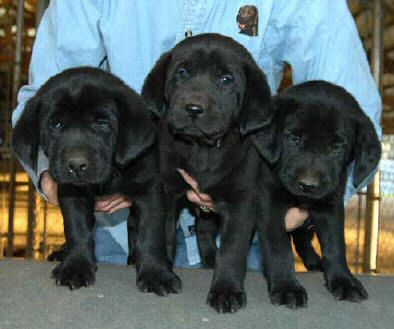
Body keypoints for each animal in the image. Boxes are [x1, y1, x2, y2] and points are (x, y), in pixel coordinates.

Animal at [11, 67, 182, 294]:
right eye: (55, 125)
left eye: (102, 124)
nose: (76, 165)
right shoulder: (72, 193)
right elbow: (77, 229)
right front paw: (75, 267)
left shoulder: (150, 189)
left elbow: (151, 233)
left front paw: (156, 274)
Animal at [142, 34, 308, 312]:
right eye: (182, 73)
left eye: (226, 80)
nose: (193, 108)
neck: (203, 150)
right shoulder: (166, 191)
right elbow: (160, 235)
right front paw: (160, 272)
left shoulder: (241, 201)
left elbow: (231, 250)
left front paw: (226, 290)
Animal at [254, 80, 380, 302]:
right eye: (294, 138)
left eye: (336, 146)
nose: (308, 185)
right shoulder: (269, 203)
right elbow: (279, 246)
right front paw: (286, 287)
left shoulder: (331, 205)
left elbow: (335, 245)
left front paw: (343, 281)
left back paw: (314, 262)